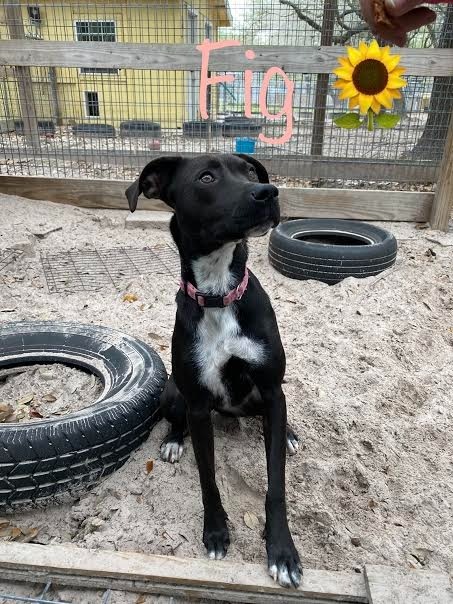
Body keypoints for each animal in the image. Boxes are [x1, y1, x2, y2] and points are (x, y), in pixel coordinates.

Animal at [126, 153, 300, 588]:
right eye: (206, 178)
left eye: (251, 172)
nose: (268, 192)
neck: (219, 293)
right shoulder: (199, 406)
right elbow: (208, 479)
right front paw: (216, 532)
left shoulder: (271, 388)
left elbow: (276, 484)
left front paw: (282, 551)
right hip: (174, 393)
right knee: (177, 420)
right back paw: (173, 441)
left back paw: (289, 433)